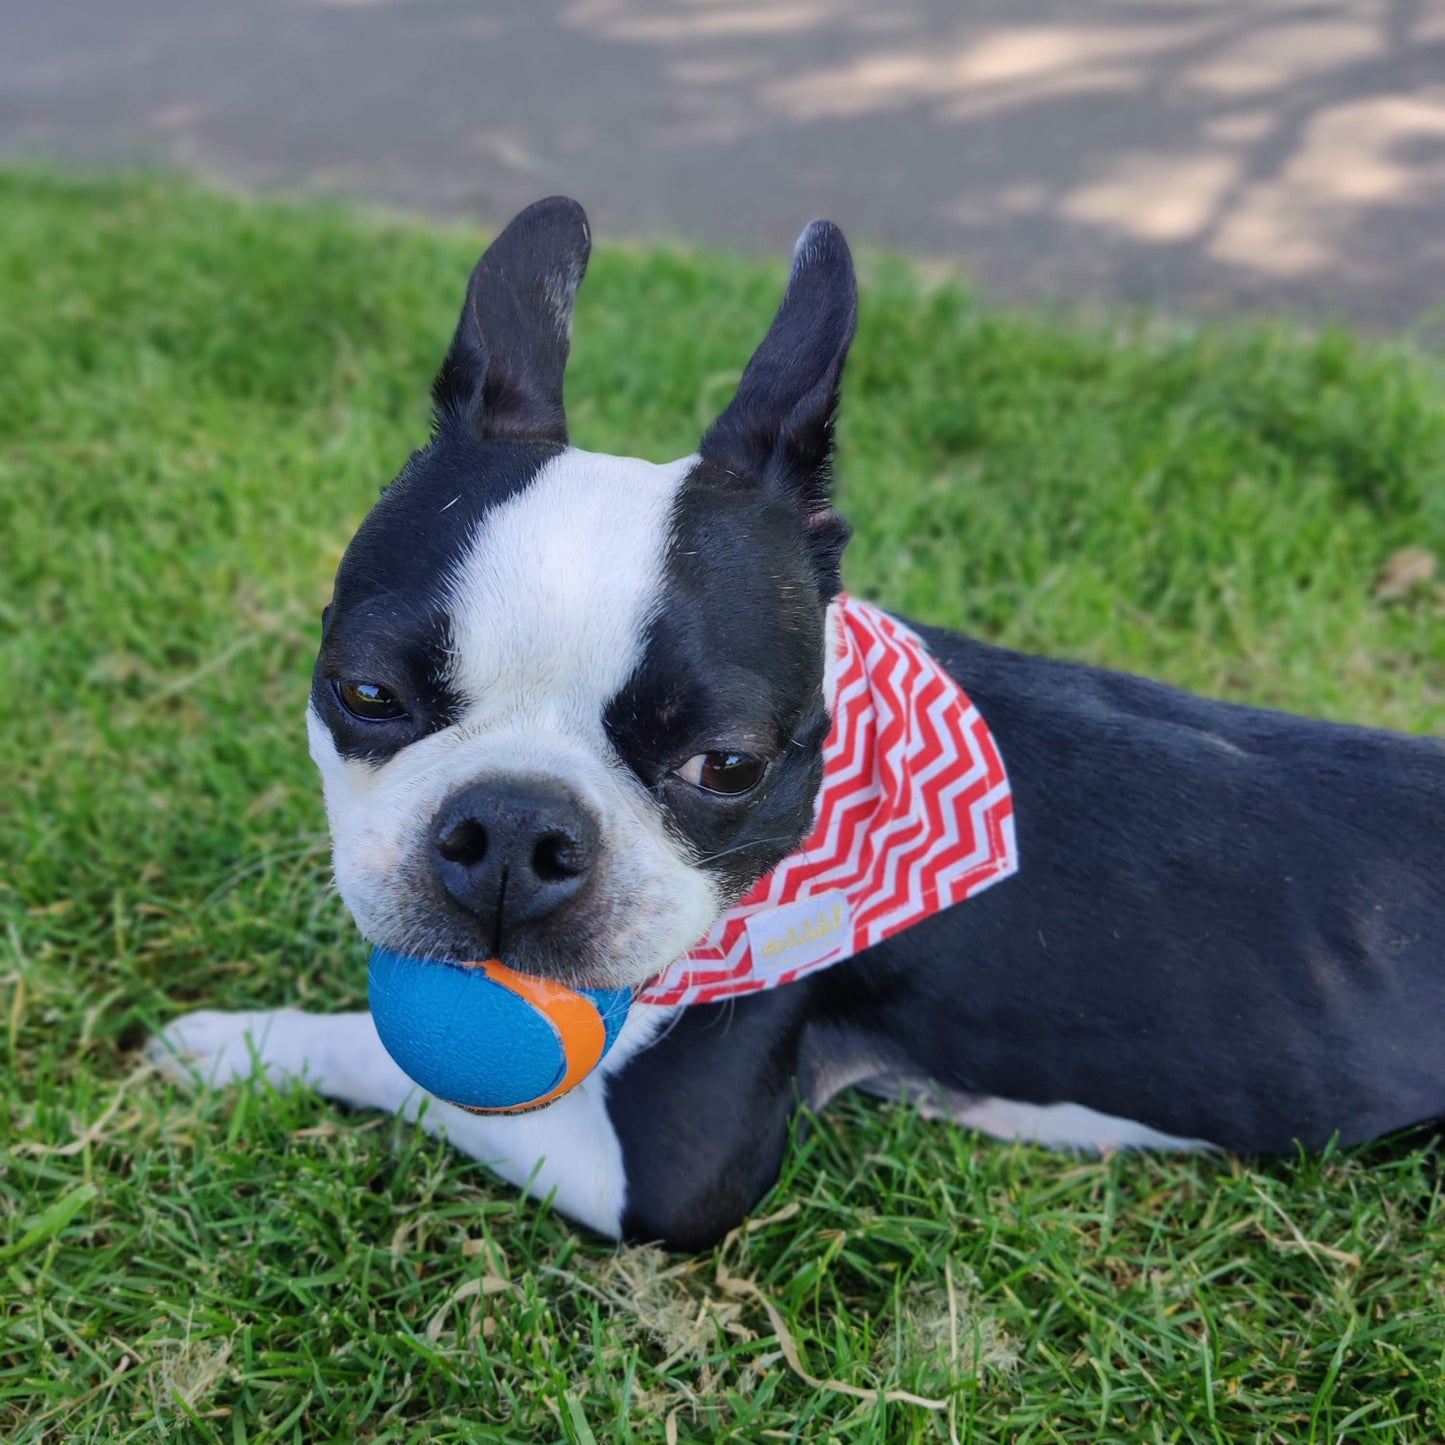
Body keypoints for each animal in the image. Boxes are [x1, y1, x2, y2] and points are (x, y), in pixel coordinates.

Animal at [158, 195, 1445, 1254]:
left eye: (724, 764)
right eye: (367, 694)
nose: (511, 831)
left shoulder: (664, 1174)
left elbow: (394, 1059)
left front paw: (232, 1041)